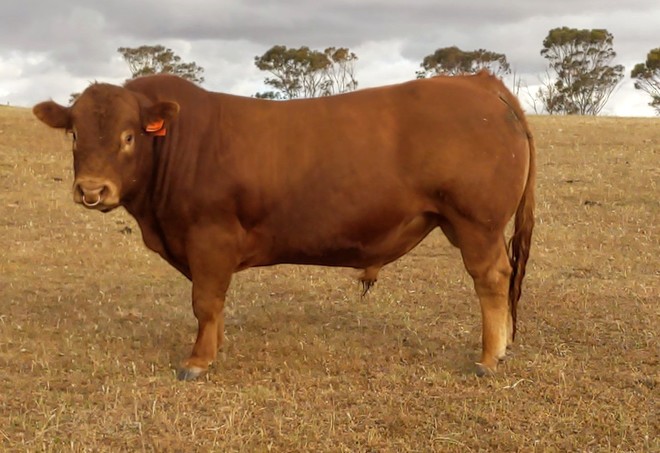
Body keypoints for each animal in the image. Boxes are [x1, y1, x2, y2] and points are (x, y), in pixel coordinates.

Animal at [33, 71, 535, 380]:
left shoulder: (209, 237)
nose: (92, 190)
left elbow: (204, 301)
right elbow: (214, 303)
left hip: (476, 223)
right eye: (74, 134)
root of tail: (478, 82)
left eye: (129, 136)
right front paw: (215, 346)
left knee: (491, 279)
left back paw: (489, 357)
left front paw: (198, 361)